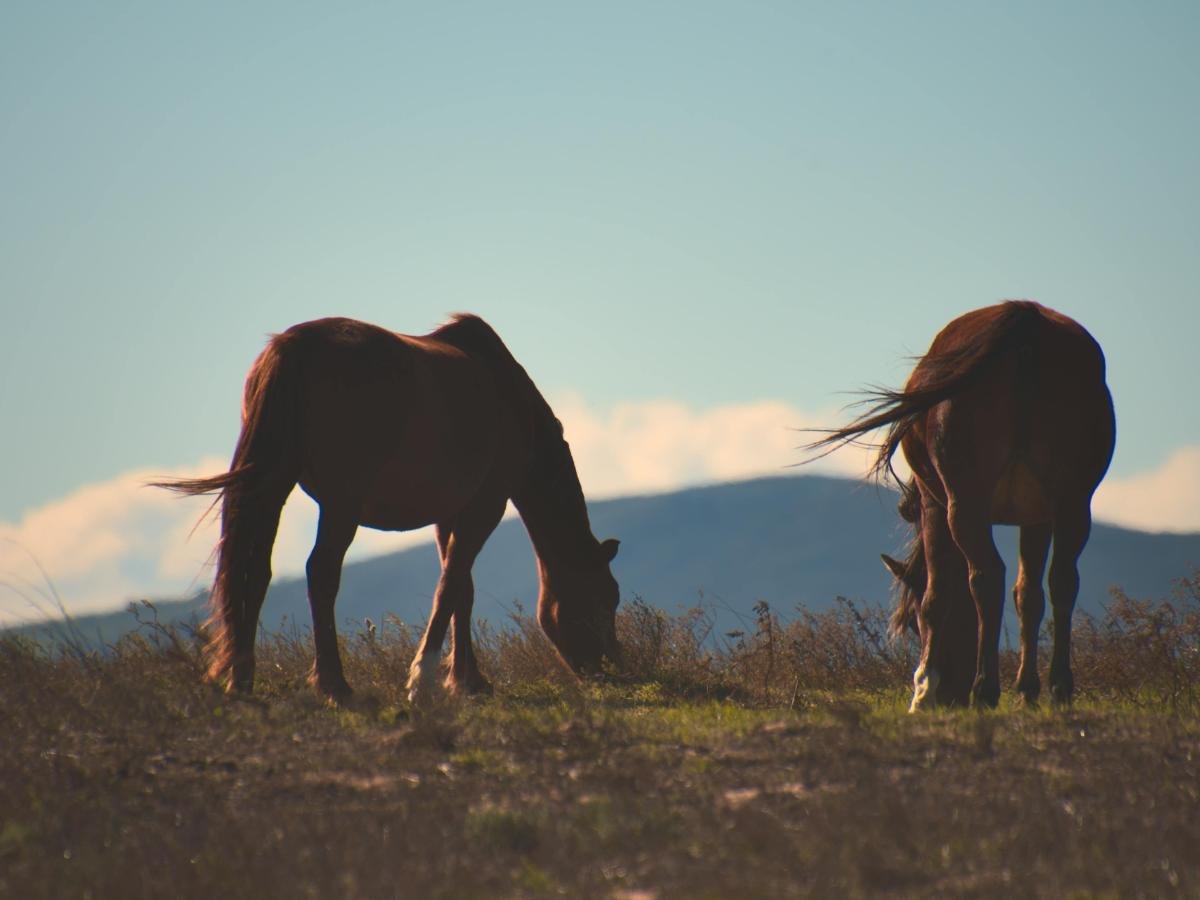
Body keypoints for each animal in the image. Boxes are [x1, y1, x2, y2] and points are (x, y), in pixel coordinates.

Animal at [156, 314, 624, 705]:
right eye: (607, 598)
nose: (613, 670)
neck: (509, 400)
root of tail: (293, 347)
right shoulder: (485, 505)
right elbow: (451, 585)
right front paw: (424, 679)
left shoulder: (448, 513)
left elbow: (462, 588)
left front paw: (467, 681)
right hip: (339, 505)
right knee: (321, 573)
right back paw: (335, 686)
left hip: (272, 486)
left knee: (255, 571)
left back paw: (242, 680)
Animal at [806, 303, 1113, 710]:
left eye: (913, 621)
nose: (950, 694)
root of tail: (1024, 318)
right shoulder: (1037, 516)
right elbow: (1028, 595)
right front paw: (1028, 691)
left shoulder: (934, 502)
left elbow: (938, 595)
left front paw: (923, 688)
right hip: (1073, 502)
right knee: (1061, 579)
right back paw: (1059, 688)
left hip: (964, 502)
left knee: (986, 577)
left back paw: (984, 690)